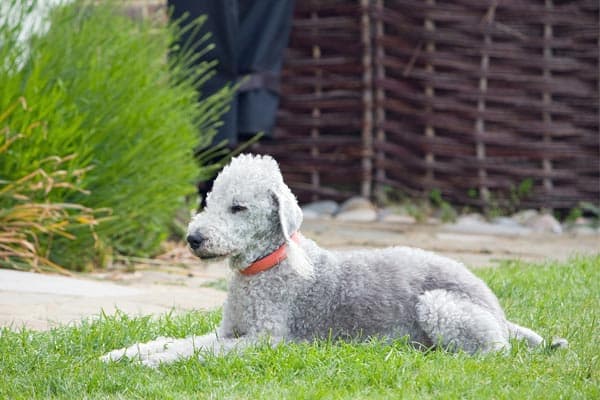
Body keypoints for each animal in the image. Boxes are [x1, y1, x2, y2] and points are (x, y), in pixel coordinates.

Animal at [99, 153, 568, 366]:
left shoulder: (265, 341)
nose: (193, 239)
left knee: (494, 351)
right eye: (209, 201)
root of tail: (497, 308)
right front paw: (122, 354)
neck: (264, 268)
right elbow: (178, 340)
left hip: (441, 306)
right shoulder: (228, 331)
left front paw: (150, 362)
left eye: (238, 208)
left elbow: (191, 351)